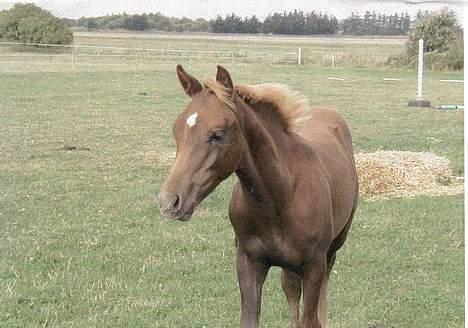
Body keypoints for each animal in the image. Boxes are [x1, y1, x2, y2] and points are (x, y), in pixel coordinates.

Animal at [158, 64, 358, 328]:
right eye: (176, 129)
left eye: (218, 134)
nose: (169, 201)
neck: (279, 198)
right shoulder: (248, 262)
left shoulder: (314, 265)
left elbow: (310, 319)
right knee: (291, 290)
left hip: (333, 248)